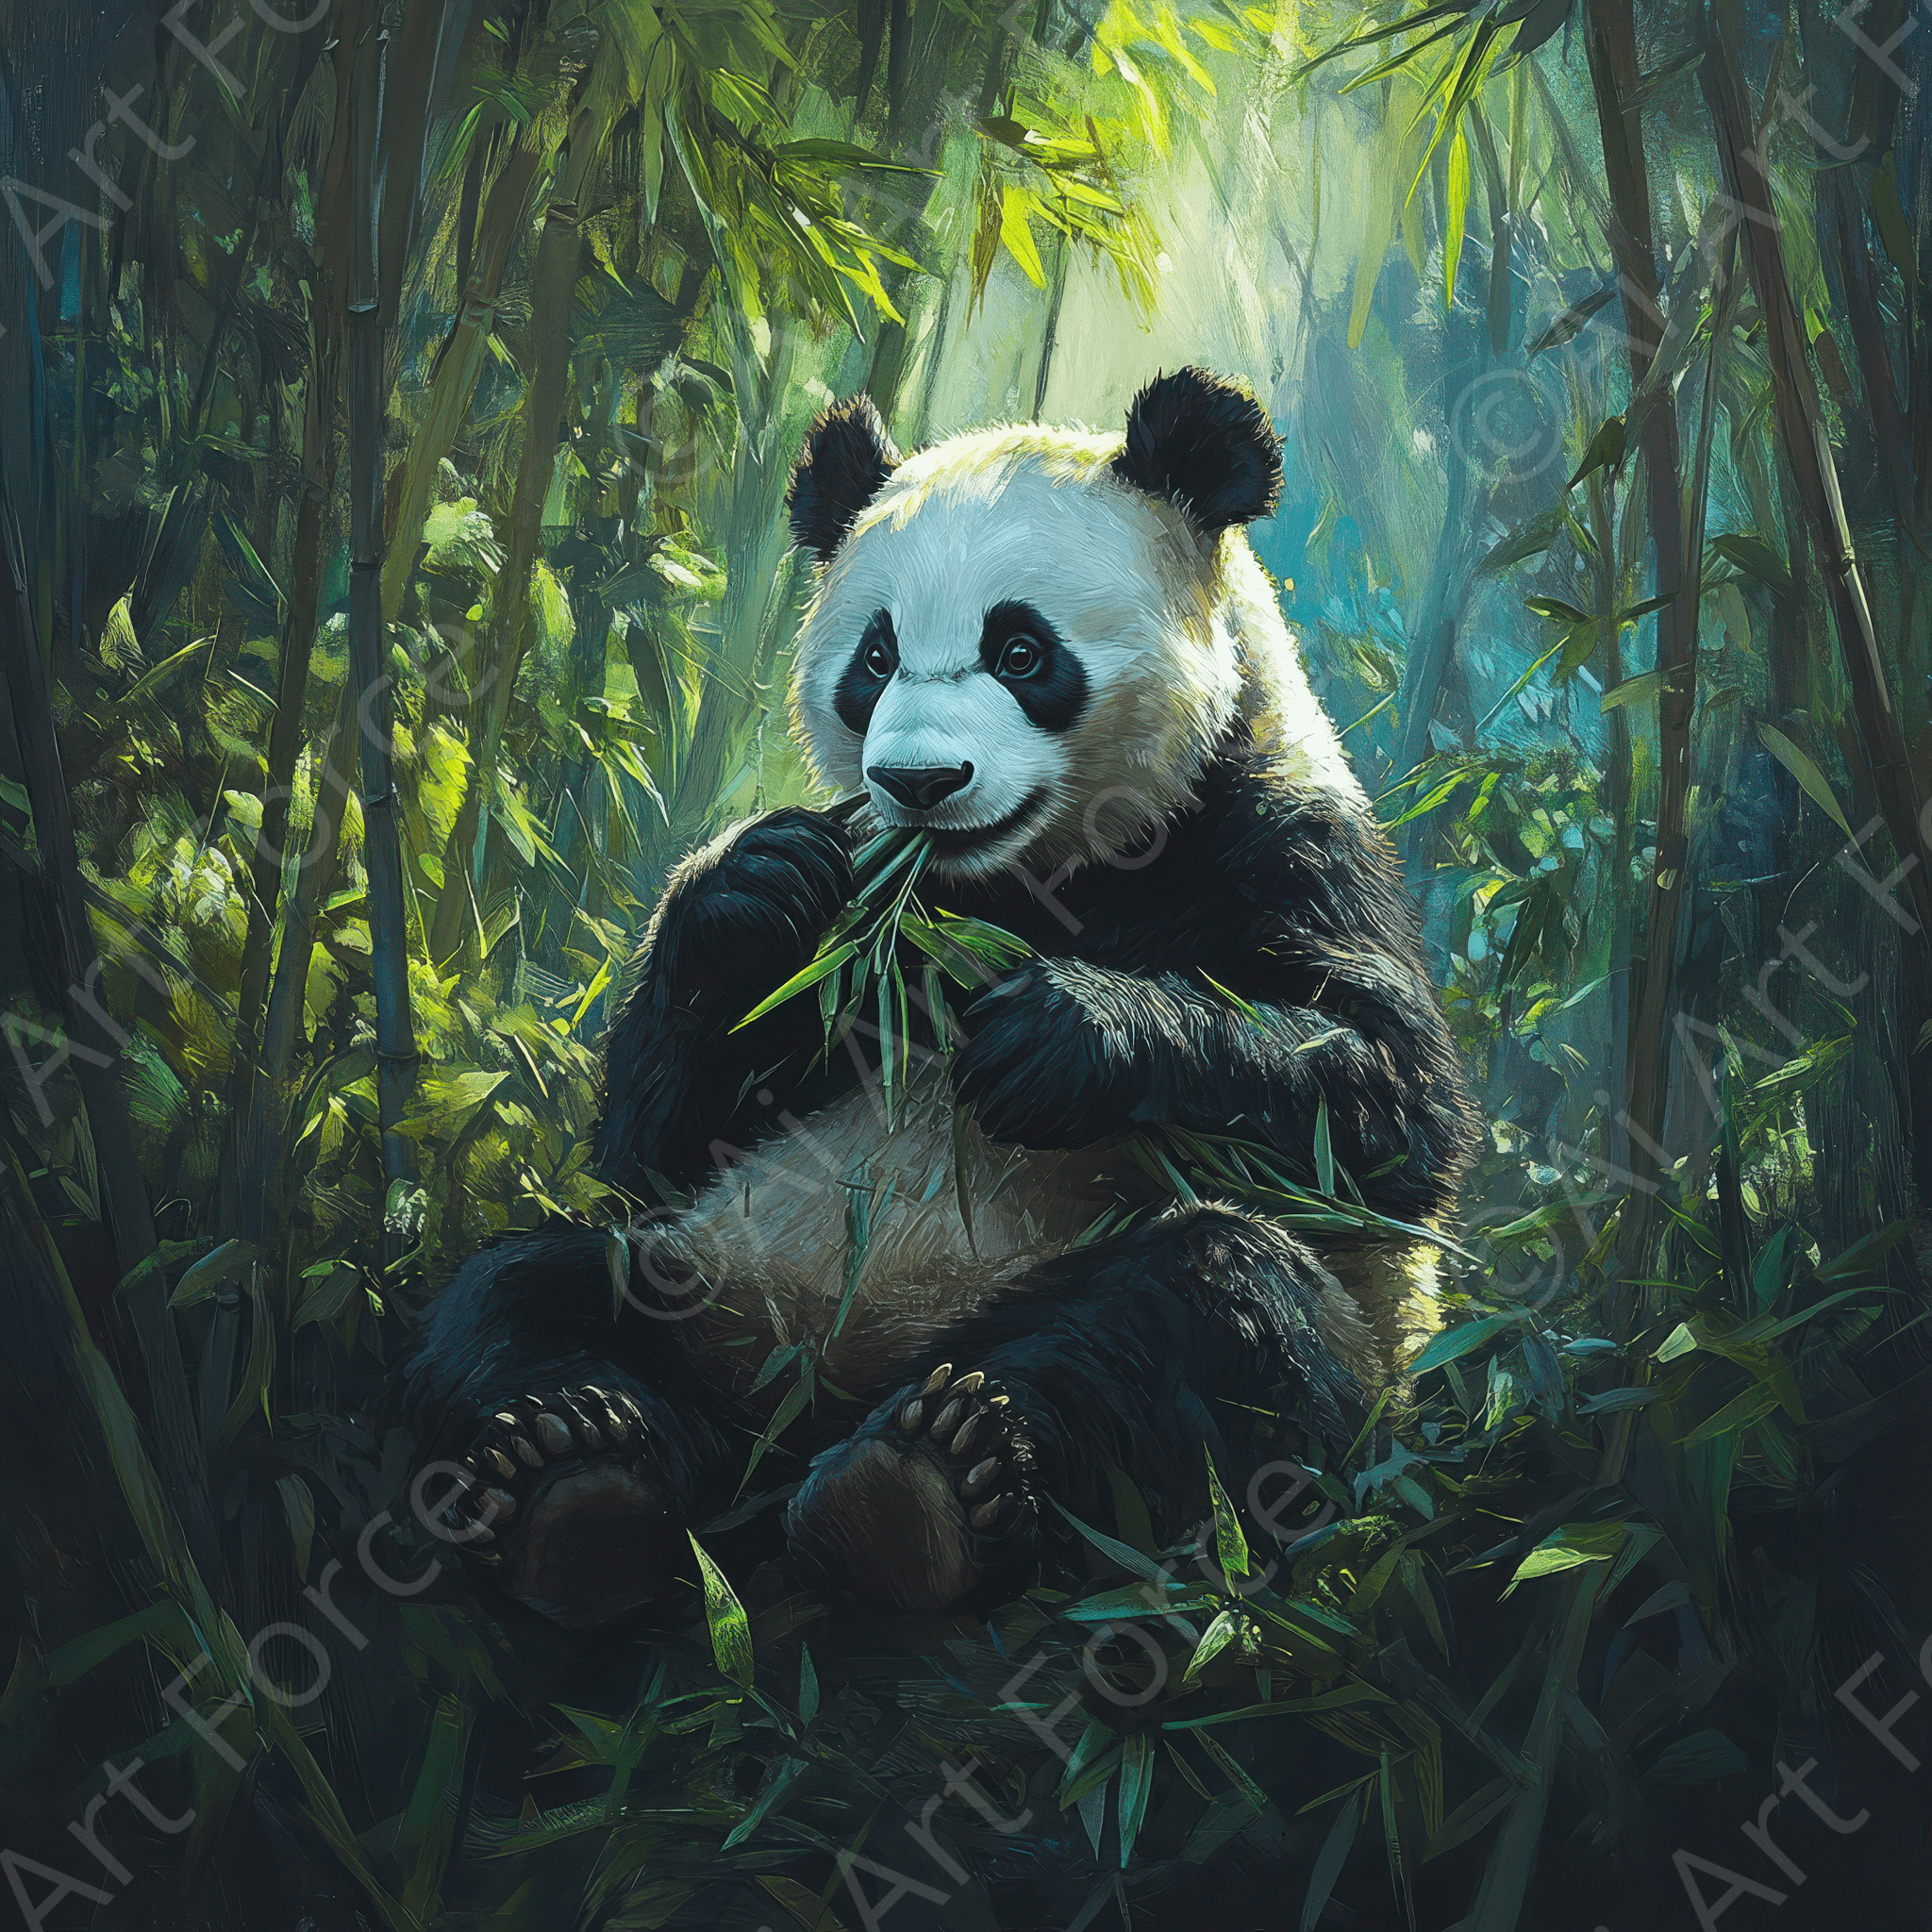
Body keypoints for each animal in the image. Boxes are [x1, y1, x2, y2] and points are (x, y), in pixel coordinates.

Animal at [403, 368, 1479, 1630]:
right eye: (872, 658)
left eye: (1019, 649)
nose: (917, 781)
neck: (1012, 884)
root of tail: (800, 1414)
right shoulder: (864, 932)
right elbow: (659, 1140)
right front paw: (757, 883)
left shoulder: (1281, 839)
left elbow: (1383, 1102)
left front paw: (1061, 1037)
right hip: (715, 1282)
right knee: (519, 1297)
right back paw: (577, 1478)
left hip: (1286, 1360)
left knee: (1206, 1308)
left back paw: (922, 1484)